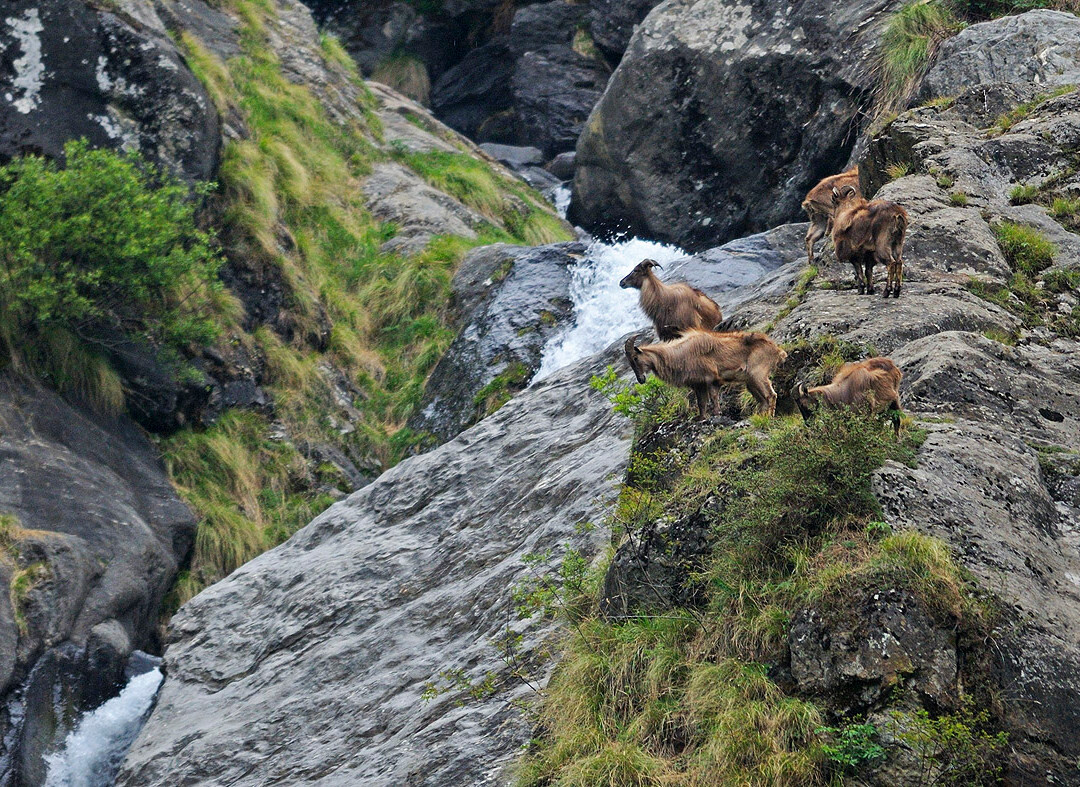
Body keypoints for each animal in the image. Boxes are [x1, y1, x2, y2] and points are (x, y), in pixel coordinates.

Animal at [626, 328, 786, 416]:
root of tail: (777, 350)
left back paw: (769, 417)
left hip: (757, 374)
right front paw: (702, 418)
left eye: (635, 357)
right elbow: (701, 403)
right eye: (630, 362)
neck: (680, 354)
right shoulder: (698, 385)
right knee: (762, 400)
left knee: (771, 395)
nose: (641, 379)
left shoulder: (711, 379)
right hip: (750, 382)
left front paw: (717, 413)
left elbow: (713, 396)